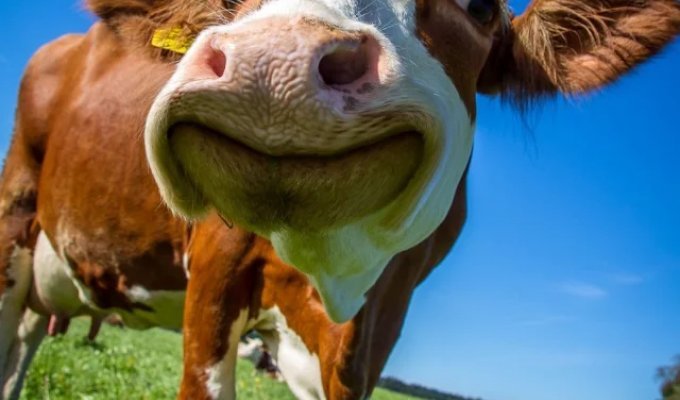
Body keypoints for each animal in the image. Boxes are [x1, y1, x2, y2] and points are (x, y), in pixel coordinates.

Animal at [0, 1, 678, 400]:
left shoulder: (380, 326)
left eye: (480, 6)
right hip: (15, 218)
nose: (273, 62)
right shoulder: (215, 276)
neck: (335, 282)